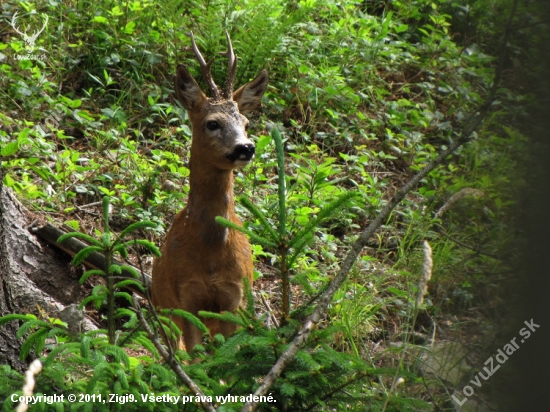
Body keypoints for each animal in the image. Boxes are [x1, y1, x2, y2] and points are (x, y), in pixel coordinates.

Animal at [153, 31, 270, 350]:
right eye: (213, 123)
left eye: (246, 122)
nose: (246, 147)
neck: (212, 254)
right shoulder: (186, 298)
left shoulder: (235, 300)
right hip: (162, 306)